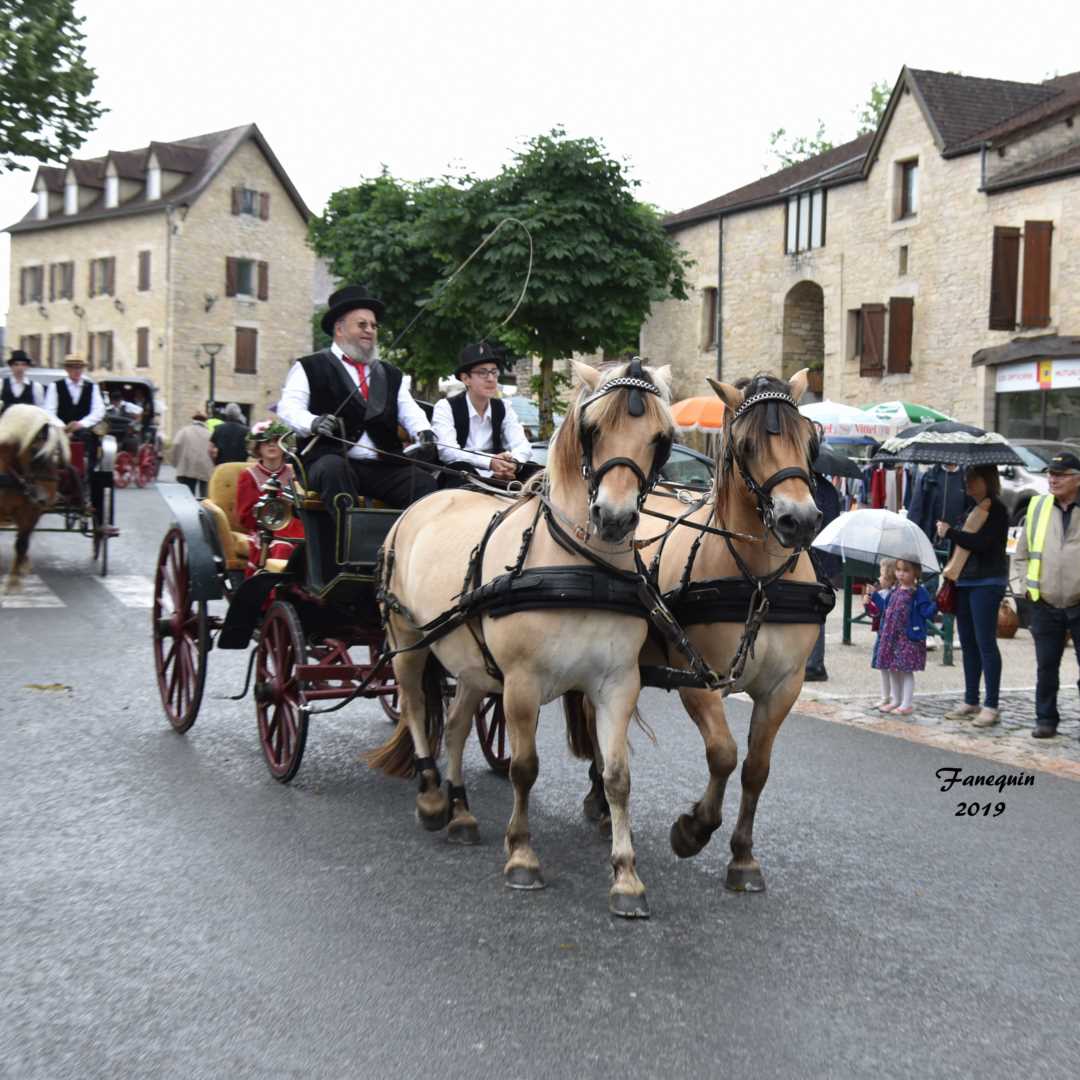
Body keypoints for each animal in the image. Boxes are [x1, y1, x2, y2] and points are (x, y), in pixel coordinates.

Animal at [0, 406, 70, 591]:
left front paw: (13, 583)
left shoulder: (31, 512)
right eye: (35, 452)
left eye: (58, 455)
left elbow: (22, 543)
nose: (49, 499)